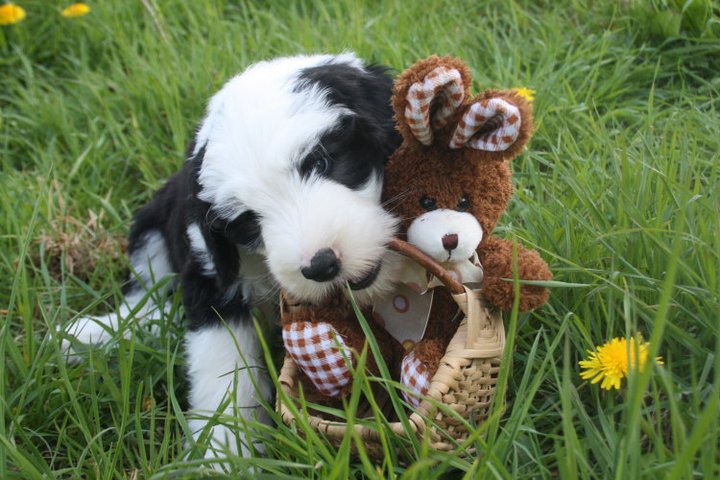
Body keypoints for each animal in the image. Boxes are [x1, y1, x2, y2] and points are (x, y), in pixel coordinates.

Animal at [62, 53, 402, 459]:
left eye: (320, 163)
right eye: (248, 221)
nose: (321, 265)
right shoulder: (210, 279)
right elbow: (224, 373)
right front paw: (223, 456)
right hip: (149, 229)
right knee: (143, 301)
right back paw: (91, 335)